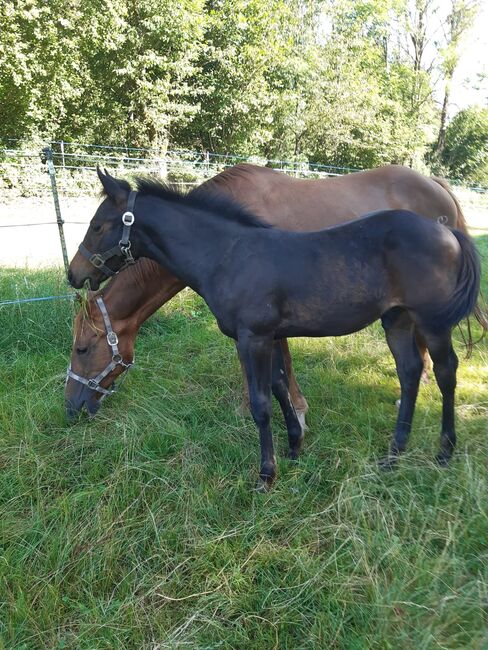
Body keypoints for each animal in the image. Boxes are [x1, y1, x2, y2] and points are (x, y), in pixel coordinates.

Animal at [67, 171, 480, 486]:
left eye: (98, 225)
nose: (72, 407)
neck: (228, 253)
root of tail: (448, 232)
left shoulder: (253, 338)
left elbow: (261, 403)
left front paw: (267, 474)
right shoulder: (272, 336)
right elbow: (281, 385)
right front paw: (295, 447)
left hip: (432, 321)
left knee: (445, 371)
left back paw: (444, 452)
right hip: (397, 319)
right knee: (409, 372)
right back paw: (393, 456)